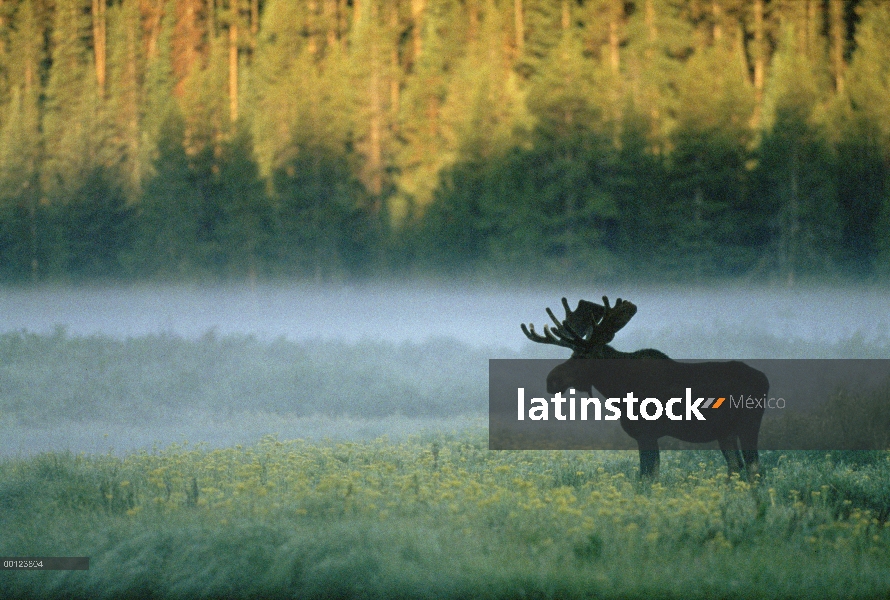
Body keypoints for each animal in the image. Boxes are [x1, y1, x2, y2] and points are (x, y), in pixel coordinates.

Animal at [524, 298, 768, 480]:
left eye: (583, 356)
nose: (551, 380)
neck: (618, 390)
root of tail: (764, 379)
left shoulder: (646, 433)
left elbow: (647, 477)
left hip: (749, 424)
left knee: (754, 466)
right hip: (725, 432)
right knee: (736, 467)